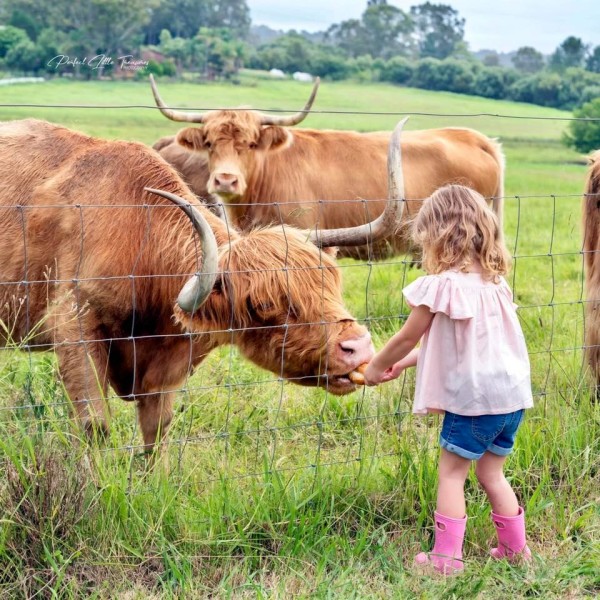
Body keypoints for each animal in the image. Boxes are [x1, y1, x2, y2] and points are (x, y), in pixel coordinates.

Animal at [0, 119, 408, 452]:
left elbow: (157, 429)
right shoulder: (74, 329)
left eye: (332, 284)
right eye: (263, 305)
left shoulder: (165, 369)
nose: (358, 347)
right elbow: (95, 426)